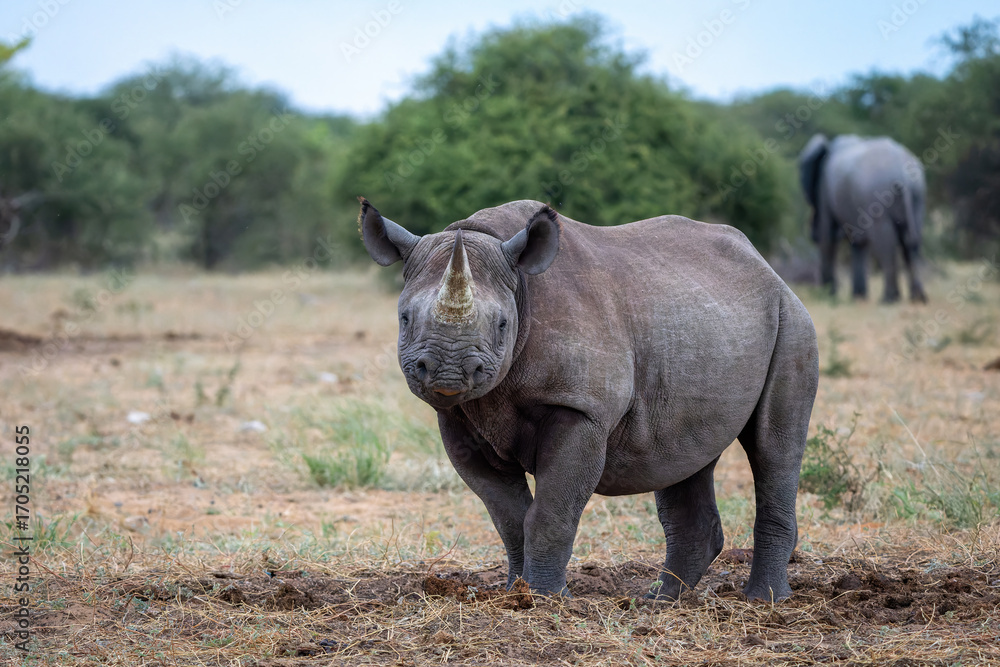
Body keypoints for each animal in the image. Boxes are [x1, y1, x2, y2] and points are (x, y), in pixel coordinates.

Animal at [360, 198, 819, 601]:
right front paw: (515, 594)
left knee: (773, 447)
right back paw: (659, 601)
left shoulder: (580, 408)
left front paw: (546, 599)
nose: (448, 373)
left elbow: (551, 513)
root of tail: (765, 266)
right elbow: (508, 516)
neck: (519, 284)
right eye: (404, 318)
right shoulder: (458, 418)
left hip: (791, 319)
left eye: (503, 324)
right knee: (681, 455)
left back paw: (764, 601)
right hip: (698, 321)